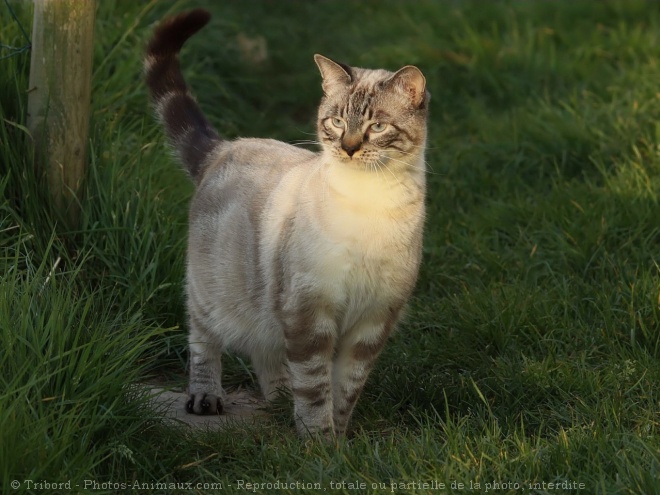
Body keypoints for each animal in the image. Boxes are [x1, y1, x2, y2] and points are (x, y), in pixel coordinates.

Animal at [146, 8, 430, 438]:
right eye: (335, 122)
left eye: (377, 127)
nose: (349, 147)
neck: (370, 202)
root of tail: (224, 147)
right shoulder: (309, 311)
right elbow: (315, 388)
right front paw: (319, 443)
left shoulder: (373, 320)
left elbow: (345, 389)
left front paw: (340, 441)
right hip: (213, 293)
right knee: (204, 341)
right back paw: (206, 399)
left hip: (267, 302)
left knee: (266, 350)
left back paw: (280, 400)